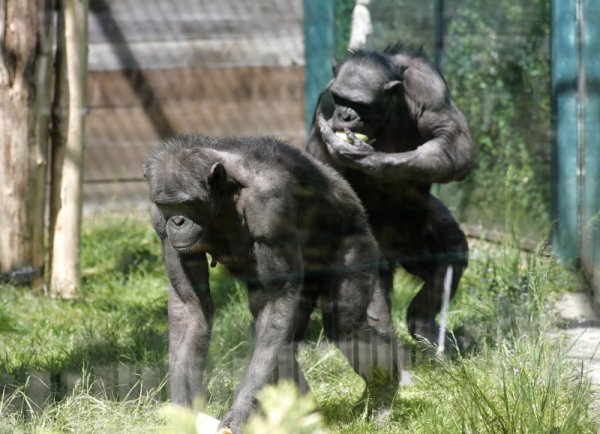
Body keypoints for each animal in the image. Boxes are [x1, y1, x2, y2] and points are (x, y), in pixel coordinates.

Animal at [144, 134, 400, 432]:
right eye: (167, 206)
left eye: (187, 203)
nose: (177, 221)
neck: (223, 198)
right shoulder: (159, 225)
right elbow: (191, 306)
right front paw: (183, 413)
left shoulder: (271, 207)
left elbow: (277, 302)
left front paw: (236, 417)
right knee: (277, 336)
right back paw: (306, 416)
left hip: (356, 242)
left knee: (344, 326)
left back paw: (382, 397)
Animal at [308, 43, 476, 350]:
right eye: (339, 98)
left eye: (360, 103)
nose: (345, 114)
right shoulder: (324, 103)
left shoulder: (430, 87)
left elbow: (453, 141)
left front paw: (369, 158)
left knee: (451, 252)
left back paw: (424, 327)